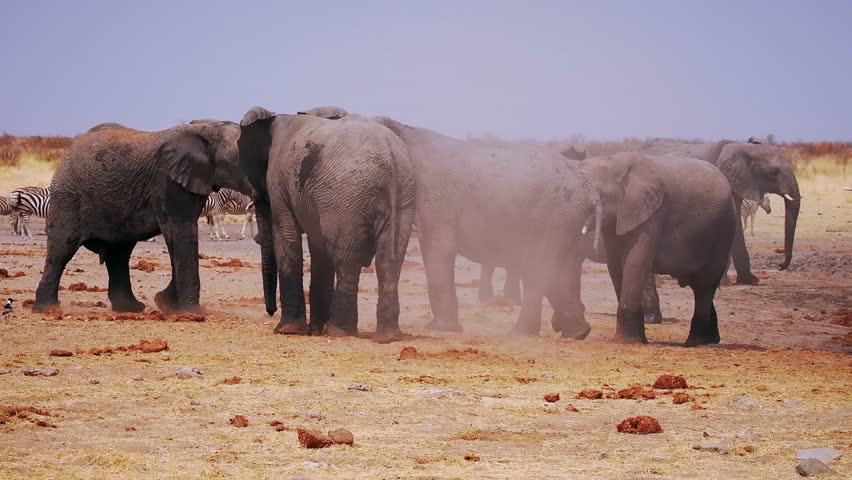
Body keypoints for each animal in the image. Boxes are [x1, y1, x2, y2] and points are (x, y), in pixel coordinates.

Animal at [33, 120, 251, 313]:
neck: (209, 128)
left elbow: (179, 239)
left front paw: (165, 304)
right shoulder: (169, 184)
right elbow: (182, 233)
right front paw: (193, 313)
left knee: (119, 254)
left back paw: (130, 309)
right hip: (68, 197)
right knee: (62, 250)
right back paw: (47, 309)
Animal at [237, 107, 416, 337]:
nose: (270, 312)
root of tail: (391, 159)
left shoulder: (278, 181)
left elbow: (287, 237)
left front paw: (287, 330)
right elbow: (318, 248)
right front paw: (313, 330)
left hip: (347, 197)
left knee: (346, 261)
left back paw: (338, 331)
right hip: (404, 197)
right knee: (389, 261)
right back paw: (387, 337)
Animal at [373, 116, 601, 338]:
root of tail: (589, 190)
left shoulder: (434, 199)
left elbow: (437, 246)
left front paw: (440, 329)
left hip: (553, 215)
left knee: (539, 267)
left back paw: (518, 335)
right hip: (567, 219)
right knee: (561, 269)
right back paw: (576, 333)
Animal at [580, 152, 736, 345]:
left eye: (599, 195)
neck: (616, 162)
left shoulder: (653, 213)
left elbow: (635, 262)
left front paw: (627, 341)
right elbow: (615, 265)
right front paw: (639, 340)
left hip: (723, 231)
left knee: (704, 285)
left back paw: (695, 342)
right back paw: (710, 340)